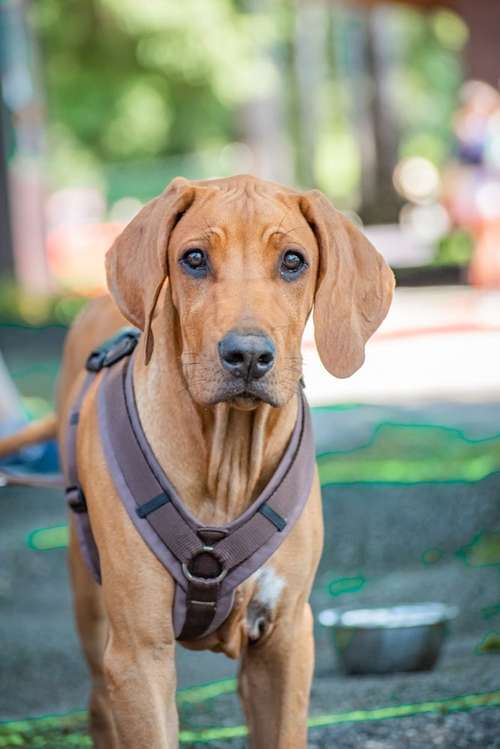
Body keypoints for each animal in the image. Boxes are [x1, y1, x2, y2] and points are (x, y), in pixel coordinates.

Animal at [0, 177, 392, 748]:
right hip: (94, 615)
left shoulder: (286, 640)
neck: (226, 460)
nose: (248, 355)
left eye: (293, 261)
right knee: (98, 703)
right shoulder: (139, 655)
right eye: (194, 259)